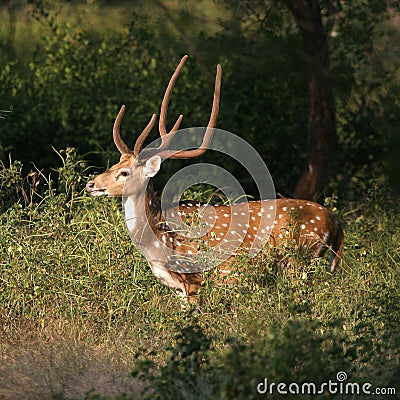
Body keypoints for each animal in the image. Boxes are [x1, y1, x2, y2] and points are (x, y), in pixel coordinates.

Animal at [86, 54, 344, 302]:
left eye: (124, 173)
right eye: (115, 163)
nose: (91, 184)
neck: (158, 244)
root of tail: (335, 221)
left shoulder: (194, 278)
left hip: (300, 259)